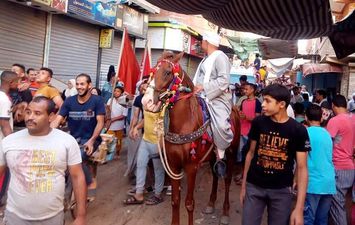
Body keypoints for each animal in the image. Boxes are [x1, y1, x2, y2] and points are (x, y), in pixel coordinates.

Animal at [141, 51, 239, 225]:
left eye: (167, 72)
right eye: (152, 71)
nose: (147, 101)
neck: (183, 123)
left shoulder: (191, 167)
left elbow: (189, 203)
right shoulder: (174, 165)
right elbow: (175, 201)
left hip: (232, 152)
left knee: (227, 179)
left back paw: (225, 212)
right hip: (212, 156)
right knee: (215, 176)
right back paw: (210, 204)